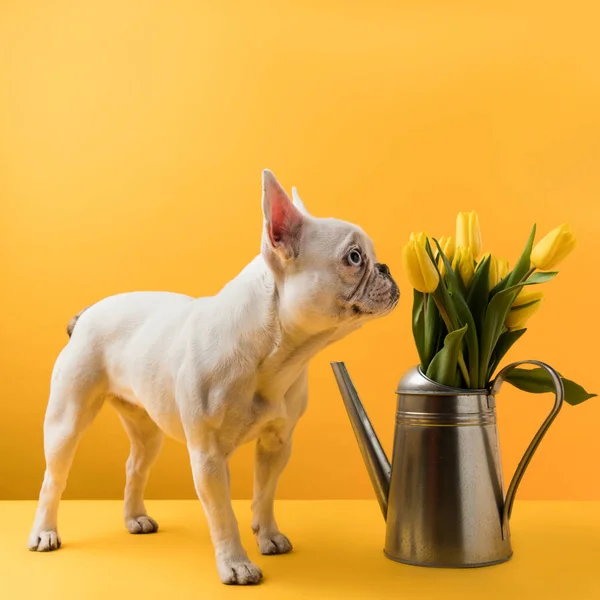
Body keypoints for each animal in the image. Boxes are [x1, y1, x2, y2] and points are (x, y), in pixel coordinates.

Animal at [27, 171, 398, 584]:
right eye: (354, 257)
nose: (385, 267)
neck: (274, 352)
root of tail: (86, 314)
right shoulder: (208, 456)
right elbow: (223, 515)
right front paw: (236, 564)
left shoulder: (277, 443)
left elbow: (264, 494)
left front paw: (268, 535)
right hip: (67, 420)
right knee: (53, 478)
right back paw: (44, 532)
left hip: (148, 428)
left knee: (135, 466)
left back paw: (135, 518)